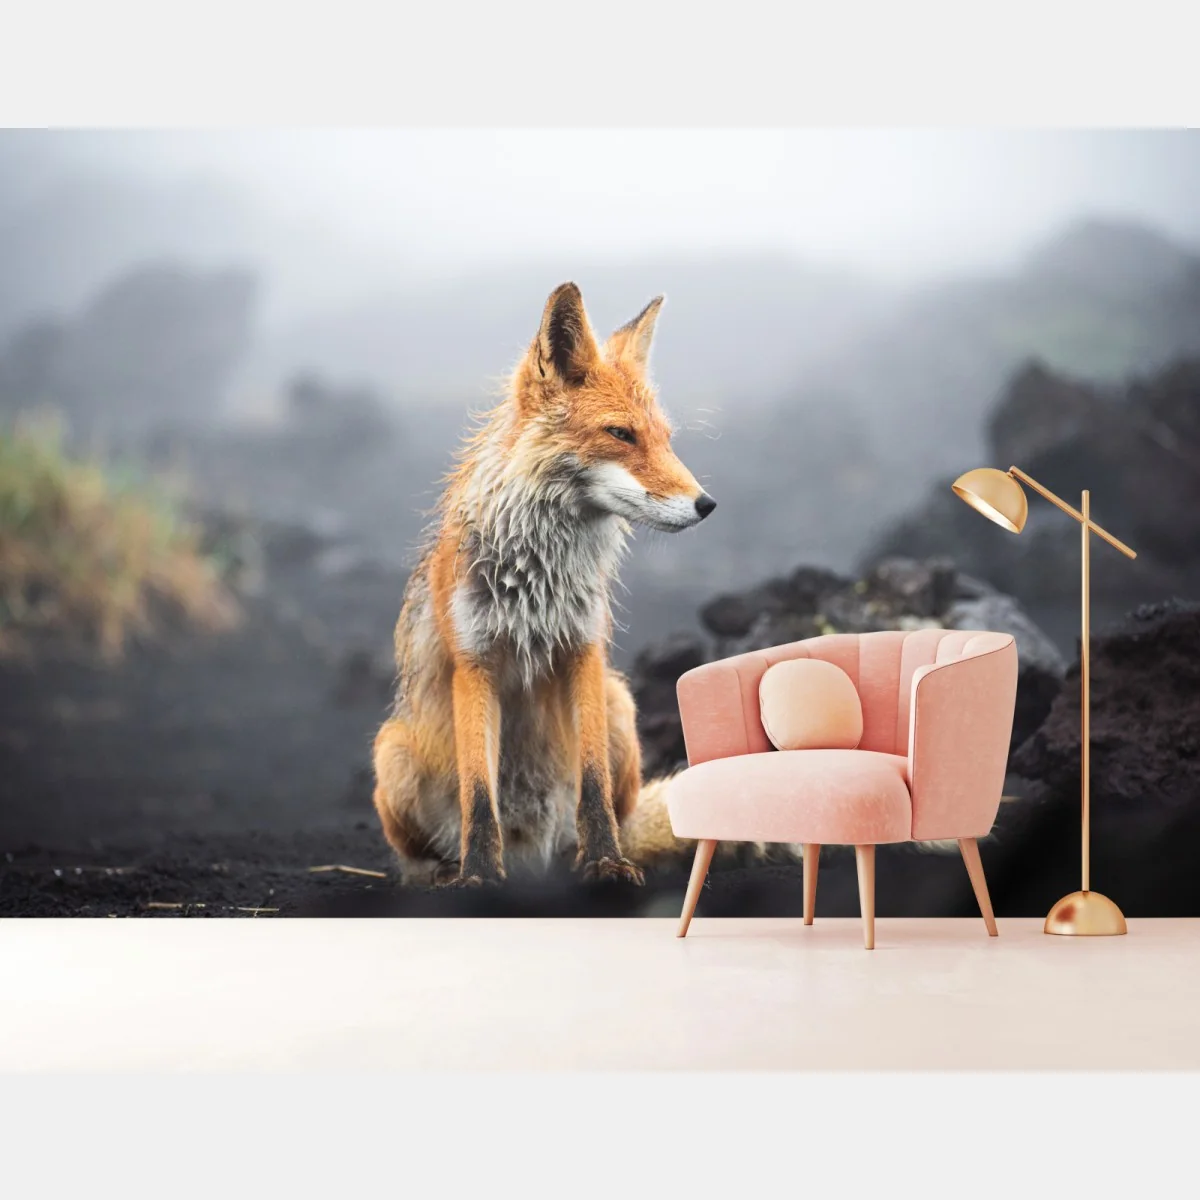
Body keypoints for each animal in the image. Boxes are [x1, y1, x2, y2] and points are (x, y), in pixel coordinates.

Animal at [372, 281, 715, 886]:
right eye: (620, 434)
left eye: (665, 439)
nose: (706, 504)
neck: (538, 579)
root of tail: (533, 852)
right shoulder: (475, 663)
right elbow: (478, 794)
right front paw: (480, 876)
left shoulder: (583, 650)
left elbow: (593, 785)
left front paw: (606, 862)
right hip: (392, 752)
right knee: (421, 853)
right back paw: (444, 872)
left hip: (620, 704)